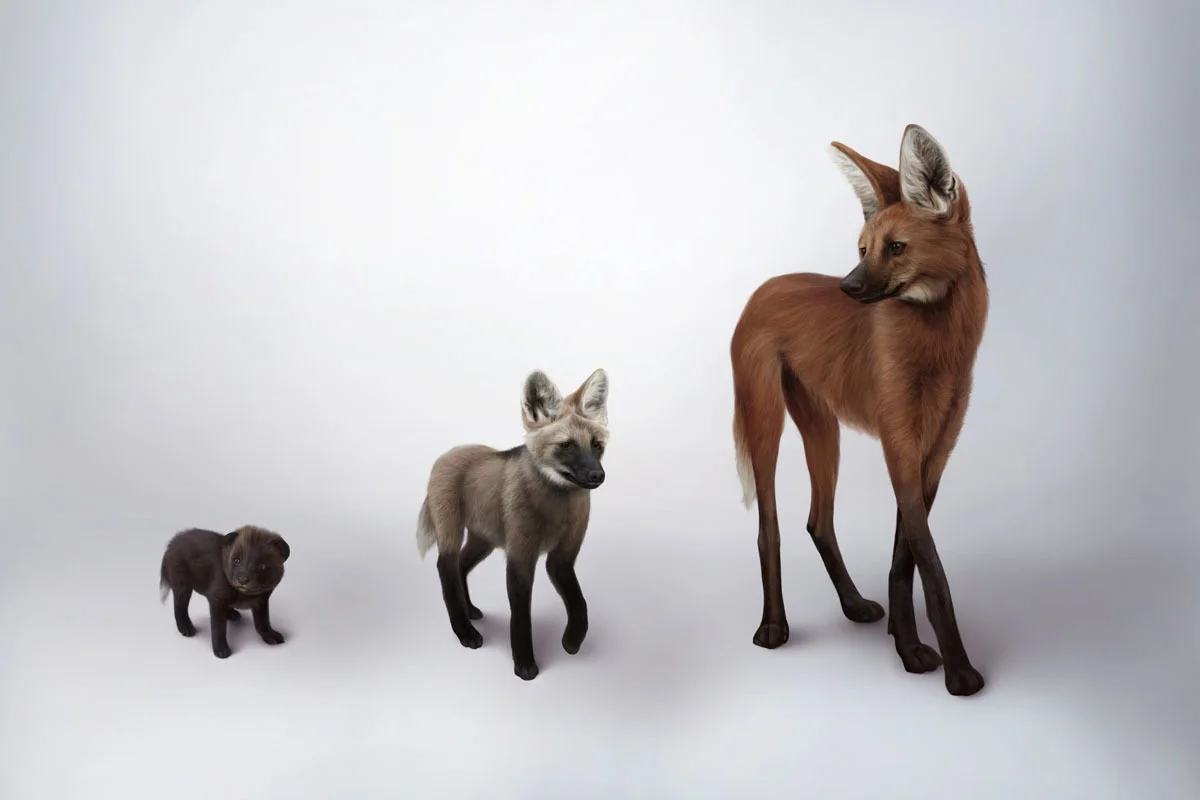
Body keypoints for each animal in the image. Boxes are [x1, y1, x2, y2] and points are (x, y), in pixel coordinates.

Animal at [416, 368, 609, 681]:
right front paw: (524, 665)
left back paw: (470, 611)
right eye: (566, 445)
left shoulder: (561, 557)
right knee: (446, 568)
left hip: (484, 540)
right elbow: (520, 618)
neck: (557, 510)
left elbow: (579, 603)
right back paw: (465, 631)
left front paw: (573, 640)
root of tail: (447, 454)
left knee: (460, 566)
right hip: (453, 533)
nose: (597, 476)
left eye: (596, 445)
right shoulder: (520, 556)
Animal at [730, 124, 989, 697]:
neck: (937, 346)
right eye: (862, 248)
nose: (848, 287)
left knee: (818, 521)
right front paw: (951, 669)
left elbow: (905, 558)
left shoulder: (933, 453)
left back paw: (853, 605)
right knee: (770, 525)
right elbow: (931, 565)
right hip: (768, 420)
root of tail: (762, 288)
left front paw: (906, 642)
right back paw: (773, 627)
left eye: (896, 248)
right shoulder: (900, 444)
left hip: (824, 428)